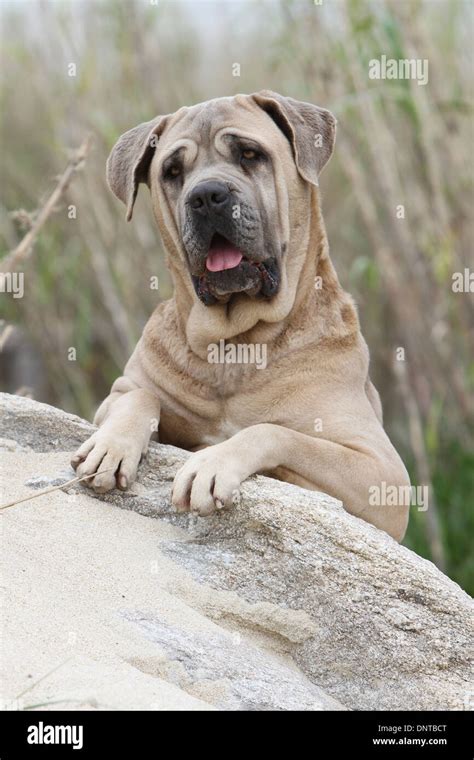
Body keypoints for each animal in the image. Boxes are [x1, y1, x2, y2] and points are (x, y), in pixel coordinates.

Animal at [71, 90, 412, 540]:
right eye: (172, 171)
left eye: (250, 154)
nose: (206, 195)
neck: (235, 343)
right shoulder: (121, 392)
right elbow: (140, 396)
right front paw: (111, 446)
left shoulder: (381, 472)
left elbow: (274, 431)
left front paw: (213, 462)